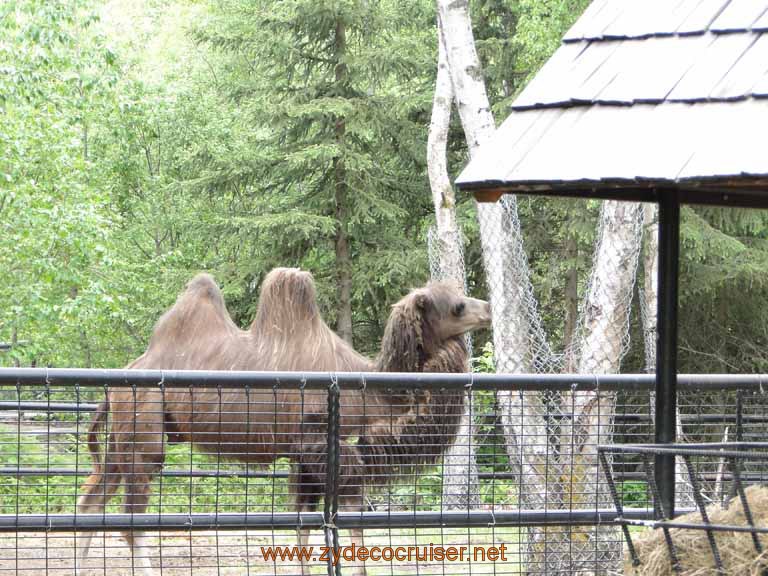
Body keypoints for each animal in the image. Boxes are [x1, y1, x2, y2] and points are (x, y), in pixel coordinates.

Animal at [75, 268, 488, 572]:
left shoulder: (304, 453)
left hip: (124, 431)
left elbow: (304, 521)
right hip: (144, 426)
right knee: (132, 521)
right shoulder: (324, 442)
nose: (486, 308)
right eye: (457, 306)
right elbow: (350, 517)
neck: (374, 393)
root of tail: (119, 380)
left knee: (91, 501)